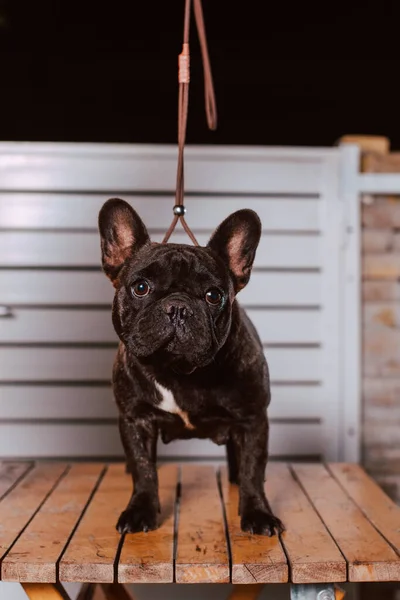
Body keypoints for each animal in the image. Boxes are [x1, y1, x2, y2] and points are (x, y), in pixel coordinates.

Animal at [98, 199, 282, 536]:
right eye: (140, 287)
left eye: (213, 295)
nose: (178, 307)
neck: (178, 372)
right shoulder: (136, 419)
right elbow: (144, 470)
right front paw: (140, 510)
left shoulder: (252, 420)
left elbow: (253, 468)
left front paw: (258, 513)